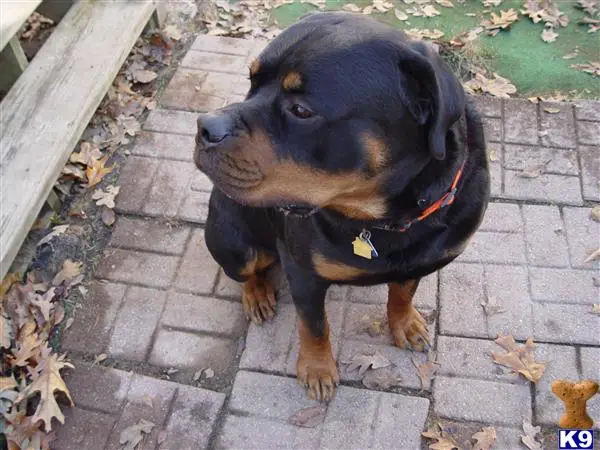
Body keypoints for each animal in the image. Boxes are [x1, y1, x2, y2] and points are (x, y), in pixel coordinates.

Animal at [195, 12, 490, 400]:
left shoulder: (421, 260)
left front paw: (404, 323)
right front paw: (318, 368)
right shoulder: (303, 273)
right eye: (251, 82)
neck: (384, 219)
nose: (204, 127)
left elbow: (403, 291)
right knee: (245, 270)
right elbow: (314, 326)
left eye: (301, 110)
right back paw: (256, 294)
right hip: (233, 242)